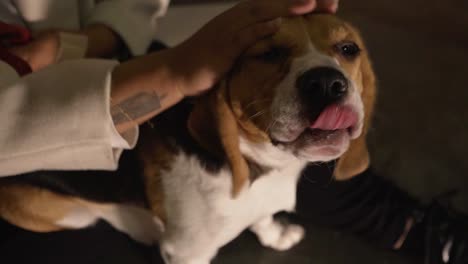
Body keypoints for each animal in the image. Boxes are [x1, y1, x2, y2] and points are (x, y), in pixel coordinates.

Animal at [0, 14, 374, 264]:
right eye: (269, 54)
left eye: (348, 48)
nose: (326, 83)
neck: (260, 164)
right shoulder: (187, 253)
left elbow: (262, 218)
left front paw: (274, 234)